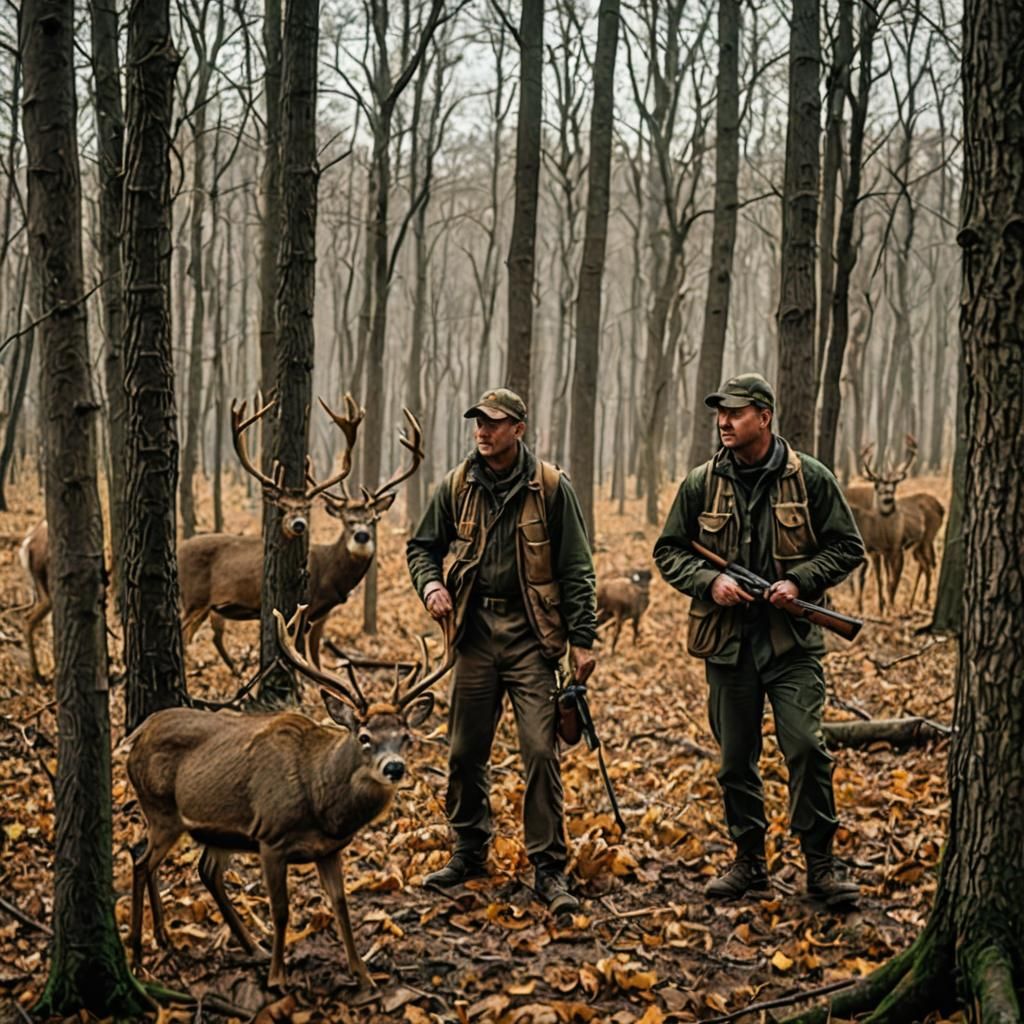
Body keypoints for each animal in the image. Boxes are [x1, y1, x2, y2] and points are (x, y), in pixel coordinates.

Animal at [127, 606, 455, 990]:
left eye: (406, 736)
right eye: (364, 737)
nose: (394, 768)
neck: (319, 799)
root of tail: (138, 733)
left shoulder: (329, 849)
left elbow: (341, 905)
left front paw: (362, 974)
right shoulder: (271, 837)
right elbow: (281, 911)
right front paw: (277, 978)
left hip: (210, 830)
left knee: (199, 870)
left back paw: (221, 943)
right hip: (160, 808)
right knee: (141, 861)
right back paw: (137, 952)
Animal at [180, 394, 424, 671]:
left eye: (374, 519)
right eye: (347, 521)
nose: (361, 536)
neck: (332, 575)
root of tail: (178, 547)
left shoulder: (322, 614)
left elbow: (315, 656)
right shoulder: (306, 606)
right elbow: (302, 654)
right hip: (194, 598)